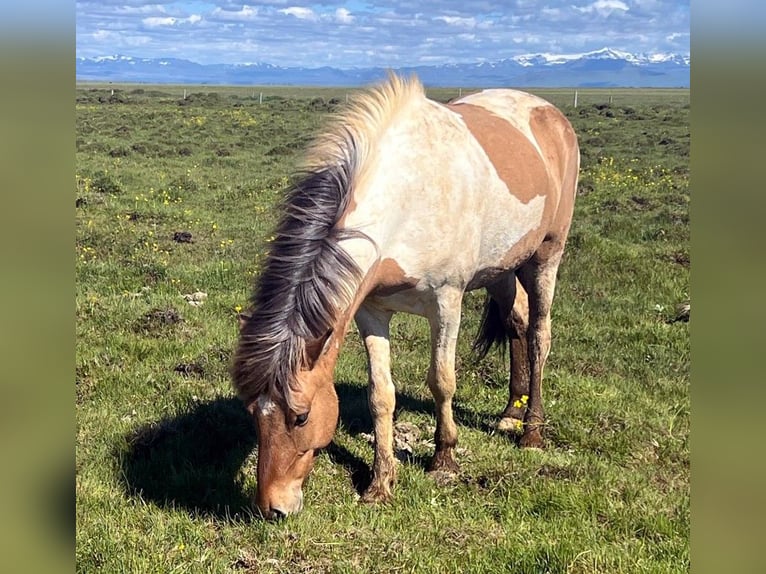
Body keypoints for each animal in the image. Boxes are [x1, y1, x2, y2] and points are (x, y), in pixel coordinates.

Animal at [232, 73, 579, 519]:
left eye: (302, 416)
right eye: (252, 414)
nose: (272, 508)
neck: (408, 194)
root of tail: (551, 114)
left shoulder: (447, 303)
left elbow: (442, 381)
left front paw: (444, 460)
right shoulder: (371, 312)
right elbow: (381, 395)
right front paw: (380, 482)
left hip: (546, 255)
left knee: (538, 335)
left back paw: (531, 430)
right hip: (501, 266)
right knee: (516, 322)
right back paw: (510, 414)